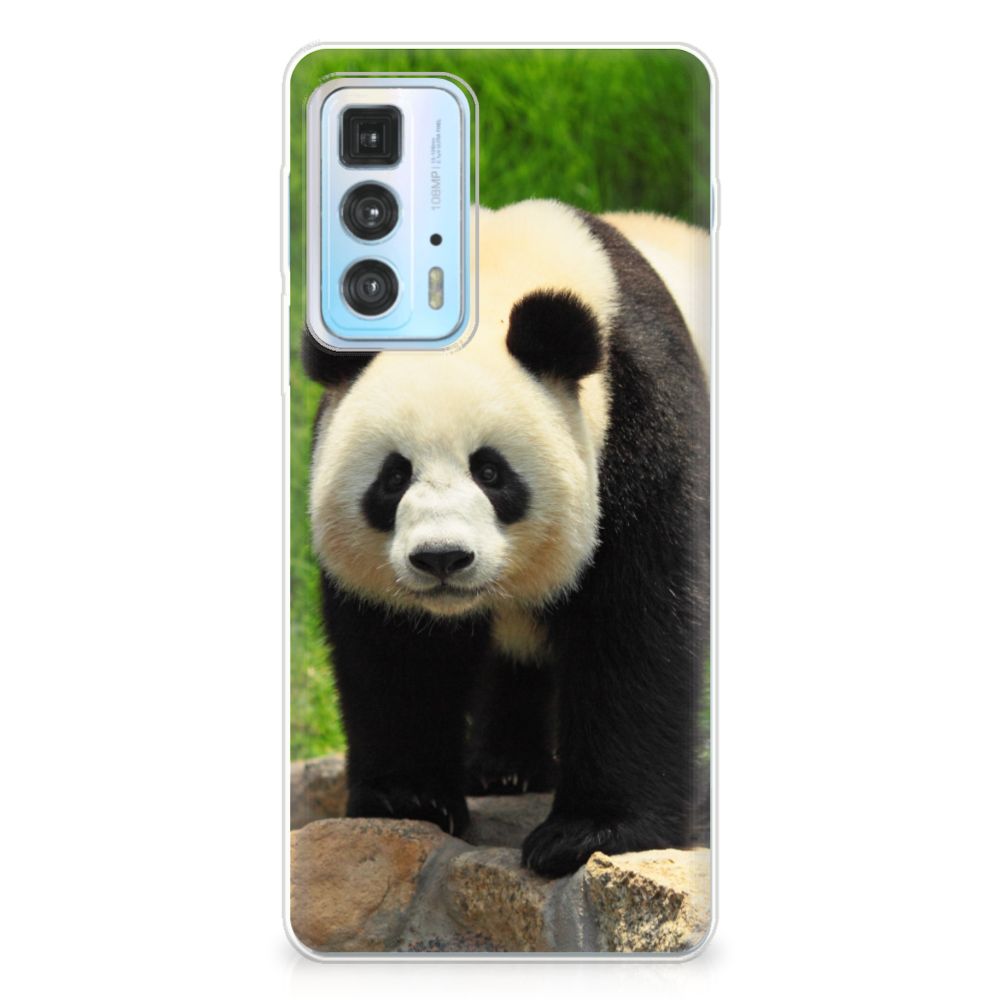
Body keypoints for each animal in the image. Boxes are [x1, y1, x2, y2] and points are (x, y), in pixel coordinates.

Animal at [302, 199, 710, 877]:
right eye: (393, 477)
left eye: (491, 472)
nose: (442, 558)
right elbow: (396, 650)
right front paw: (408, 799)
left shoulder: (642, 425)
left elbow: (635, 625)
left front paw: (589, 833)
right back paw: (504, 768)